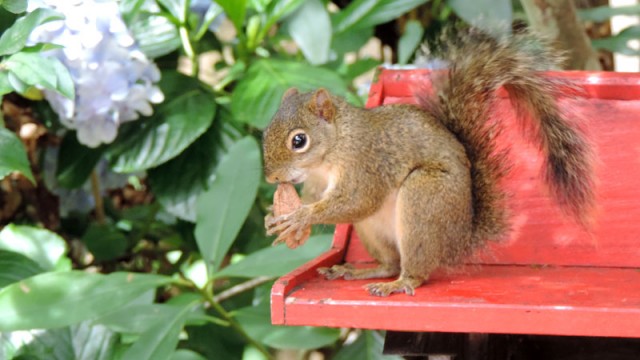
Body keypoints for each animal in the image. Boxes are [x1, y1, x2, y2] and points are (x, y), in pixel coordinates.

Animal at [260, 30, 596, 296]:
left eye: (299, 141)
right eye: (266, 130)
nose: (272, 179)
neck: (333, 148)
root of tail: (460, 238)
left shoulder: (366, 162)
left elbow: (358, 199)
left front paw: (299, 217)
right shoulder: (319, 183)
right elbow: (317, 198)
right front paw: (272, 217)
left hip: (423, 199)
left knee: (414, 270)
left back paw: (399, 284)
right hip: (372, 229)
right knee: (389, 263)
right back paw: (358, 271)